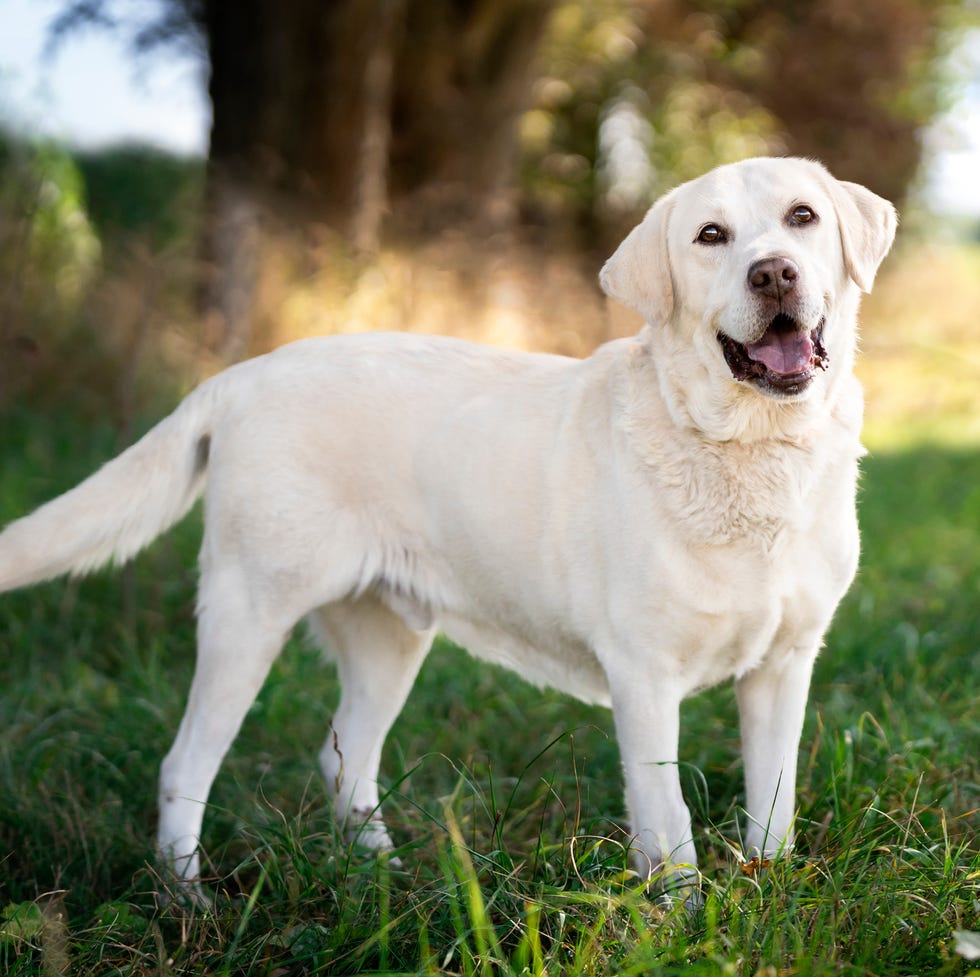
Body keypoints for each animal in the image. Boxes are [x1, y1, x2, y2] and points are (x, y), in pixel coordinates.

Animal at [0, 156, 896, 896]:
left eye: (803, 217)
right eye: (711, 236)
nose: (774, 272)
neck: (751, 451)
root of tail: (237, 376)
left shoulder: (785, 665)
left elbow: (773, 804)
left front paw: (767, 896)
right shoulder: (643, 676)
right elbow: (668, 820)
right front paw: (679, 919)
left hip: (389, 638)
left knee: (344, 759)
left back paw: (381, 880)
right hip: (247, 616)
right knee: (185, 762)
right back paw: (188, 899)